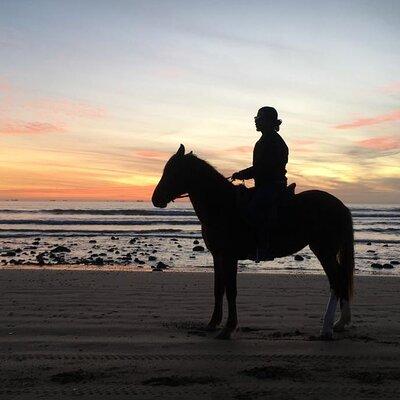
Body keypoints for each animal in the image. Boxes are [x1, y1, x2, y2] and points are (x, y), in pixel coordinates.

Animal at [150, 144, 354, 338]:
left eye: (173, 171)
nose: (155, 199)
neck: (222, 206)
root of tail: (341, 206)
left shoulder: (230, 257)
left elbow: (231, 291)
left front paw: (228, 329)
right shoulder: (218, 256)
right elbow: (218, 289)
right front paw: (213, 323)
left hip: (323, 251)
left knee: (336, 281)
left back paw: (326, 329)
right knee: (343, 279)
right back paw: (340, 323)